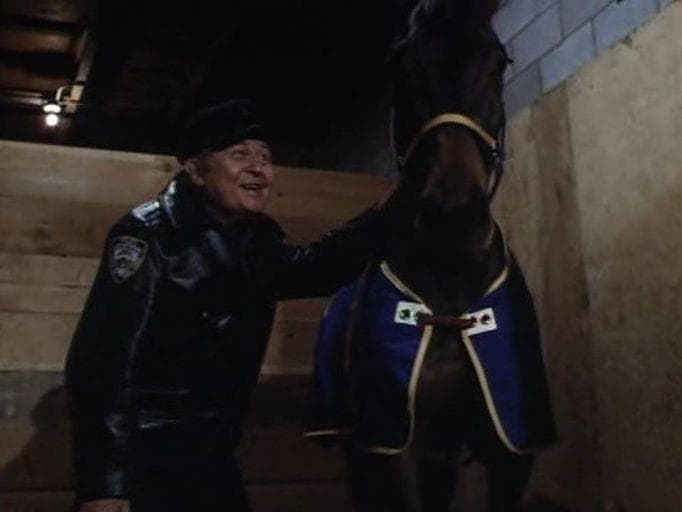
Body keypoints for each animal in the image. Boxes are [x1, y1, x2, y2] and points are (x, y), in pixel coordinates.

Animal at [306, 1, 555, 511]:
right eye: (399, 64)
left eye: (498, 62)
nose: (453, 217)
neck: (450, 287)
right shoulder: (393, 445)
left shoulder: (511, 444)